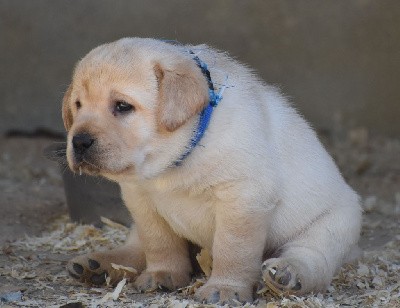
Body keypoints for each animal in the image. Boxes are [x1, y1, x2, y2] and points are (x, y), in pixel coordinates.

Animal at [62, 38, 362, 304]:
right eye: (78, 106)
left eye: (123, 106)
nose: (79, 141)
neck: (180, 156)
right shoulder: (140, 200)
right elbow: (158, 242)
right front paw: (162, 273)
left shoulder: (242, 197)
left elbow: (233, 249)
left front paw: (225, 288)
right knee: (136, 246)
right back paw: (98, 265)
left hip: (332, 225)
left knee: (311, 255)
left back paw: (288, 274)